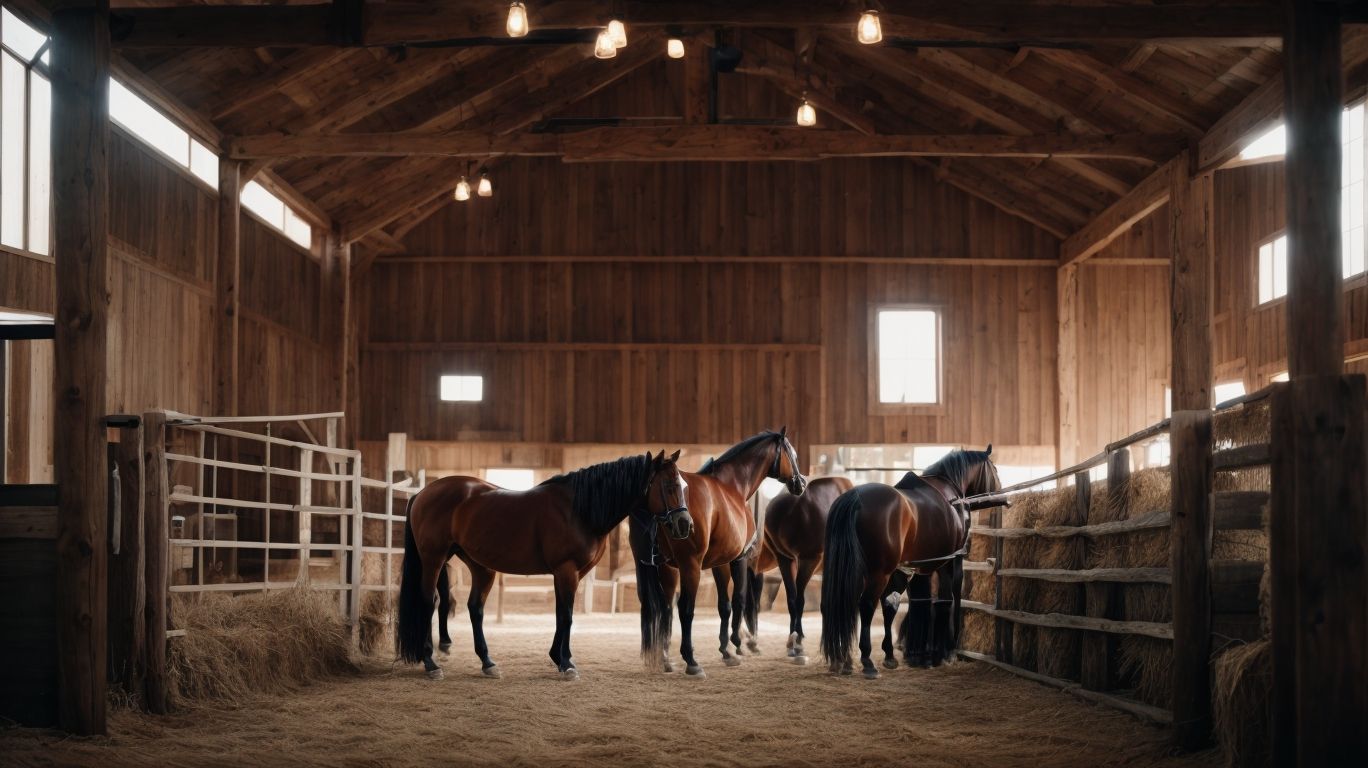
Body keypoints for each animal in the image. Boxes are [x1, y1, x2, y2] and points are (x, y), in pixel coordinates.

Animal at [397, 450, 691, 681]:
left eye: (683, 485)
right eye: (668, 485)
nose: (685, 525)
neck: (579, 509)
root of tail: (422, 493)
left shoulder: (571, 573)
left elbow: (562, 613)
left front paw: (560, 658)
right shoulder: (566, 570)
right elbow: (567, 615)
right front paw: (566, 663)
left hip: (479, 565)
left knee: (475, 609)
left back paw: (488, 663)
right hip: (434, 559)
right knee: (429, 601)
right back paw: (431, 663)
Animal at [632, 428, 807, 677]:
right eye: (791, 454)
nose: (800, 483)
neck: (732, 487)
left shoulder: (720, 562)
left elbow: (724, 605)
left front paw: (726, 650)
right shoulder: (740, 559)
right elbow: (739, 600)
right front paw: (737, 643)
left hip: (665, 568)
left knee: (665, 609)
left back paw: (665, 658)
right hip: (689, 566)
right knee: (685, 609)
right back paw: (691, 661)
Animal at [819, 446, 999, 679]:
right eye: (994, 469)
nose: (1000, 492)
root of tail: (854, 498)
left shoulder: (905, 570)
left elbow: (895, 606)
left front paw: (893, 655)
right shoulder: (951, 561)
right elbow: (948, 600)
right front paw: (947, 651)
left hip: (850, 571)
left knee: (840, 604)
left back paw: (843, 661)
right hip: (878, 573)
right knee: (866, 605)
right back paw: (867, 662)